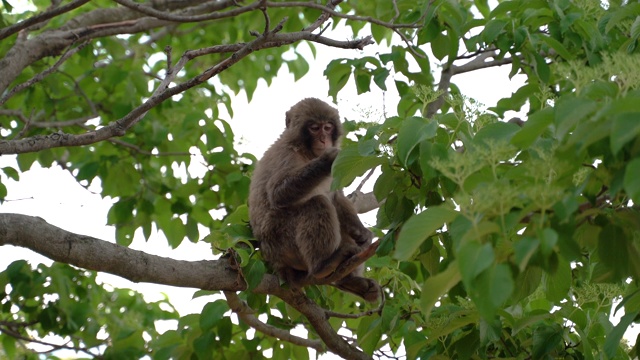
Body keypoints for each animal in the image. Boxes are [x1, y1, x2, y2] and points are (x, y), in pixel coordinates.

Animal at [249, 97, 380, 302]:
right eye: (314, 128)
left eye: (327, 127)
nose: (323, 140)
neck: (307, 151)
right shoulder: (285, 154)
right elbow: (277, 193)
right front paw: (326, 161)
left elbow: (336, 196)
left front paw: (362, 232)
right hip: (280, 241)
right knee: (316, 203)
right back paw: (323, 265)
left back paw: (350, 281)